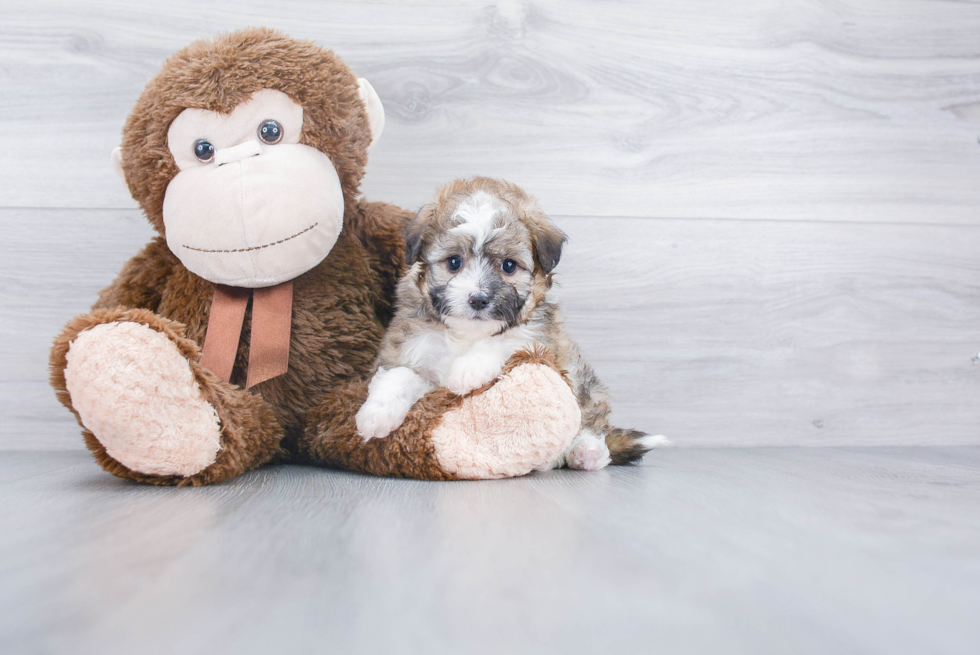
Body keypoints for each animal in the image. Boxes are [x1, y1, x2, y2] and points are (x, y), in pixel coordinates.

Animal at [354, 177, 668, 468]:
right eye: (454, 262)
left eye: (508, 266)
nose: (479, 299)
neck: (466, 334)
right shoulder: (408, 347)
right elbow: (399, 375)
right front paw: (375, 414)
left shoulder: (542, 336)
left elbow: (508, 339)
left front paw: (468, 369)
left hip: (578, 375)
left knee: (591, 415)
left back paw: (587, 451)